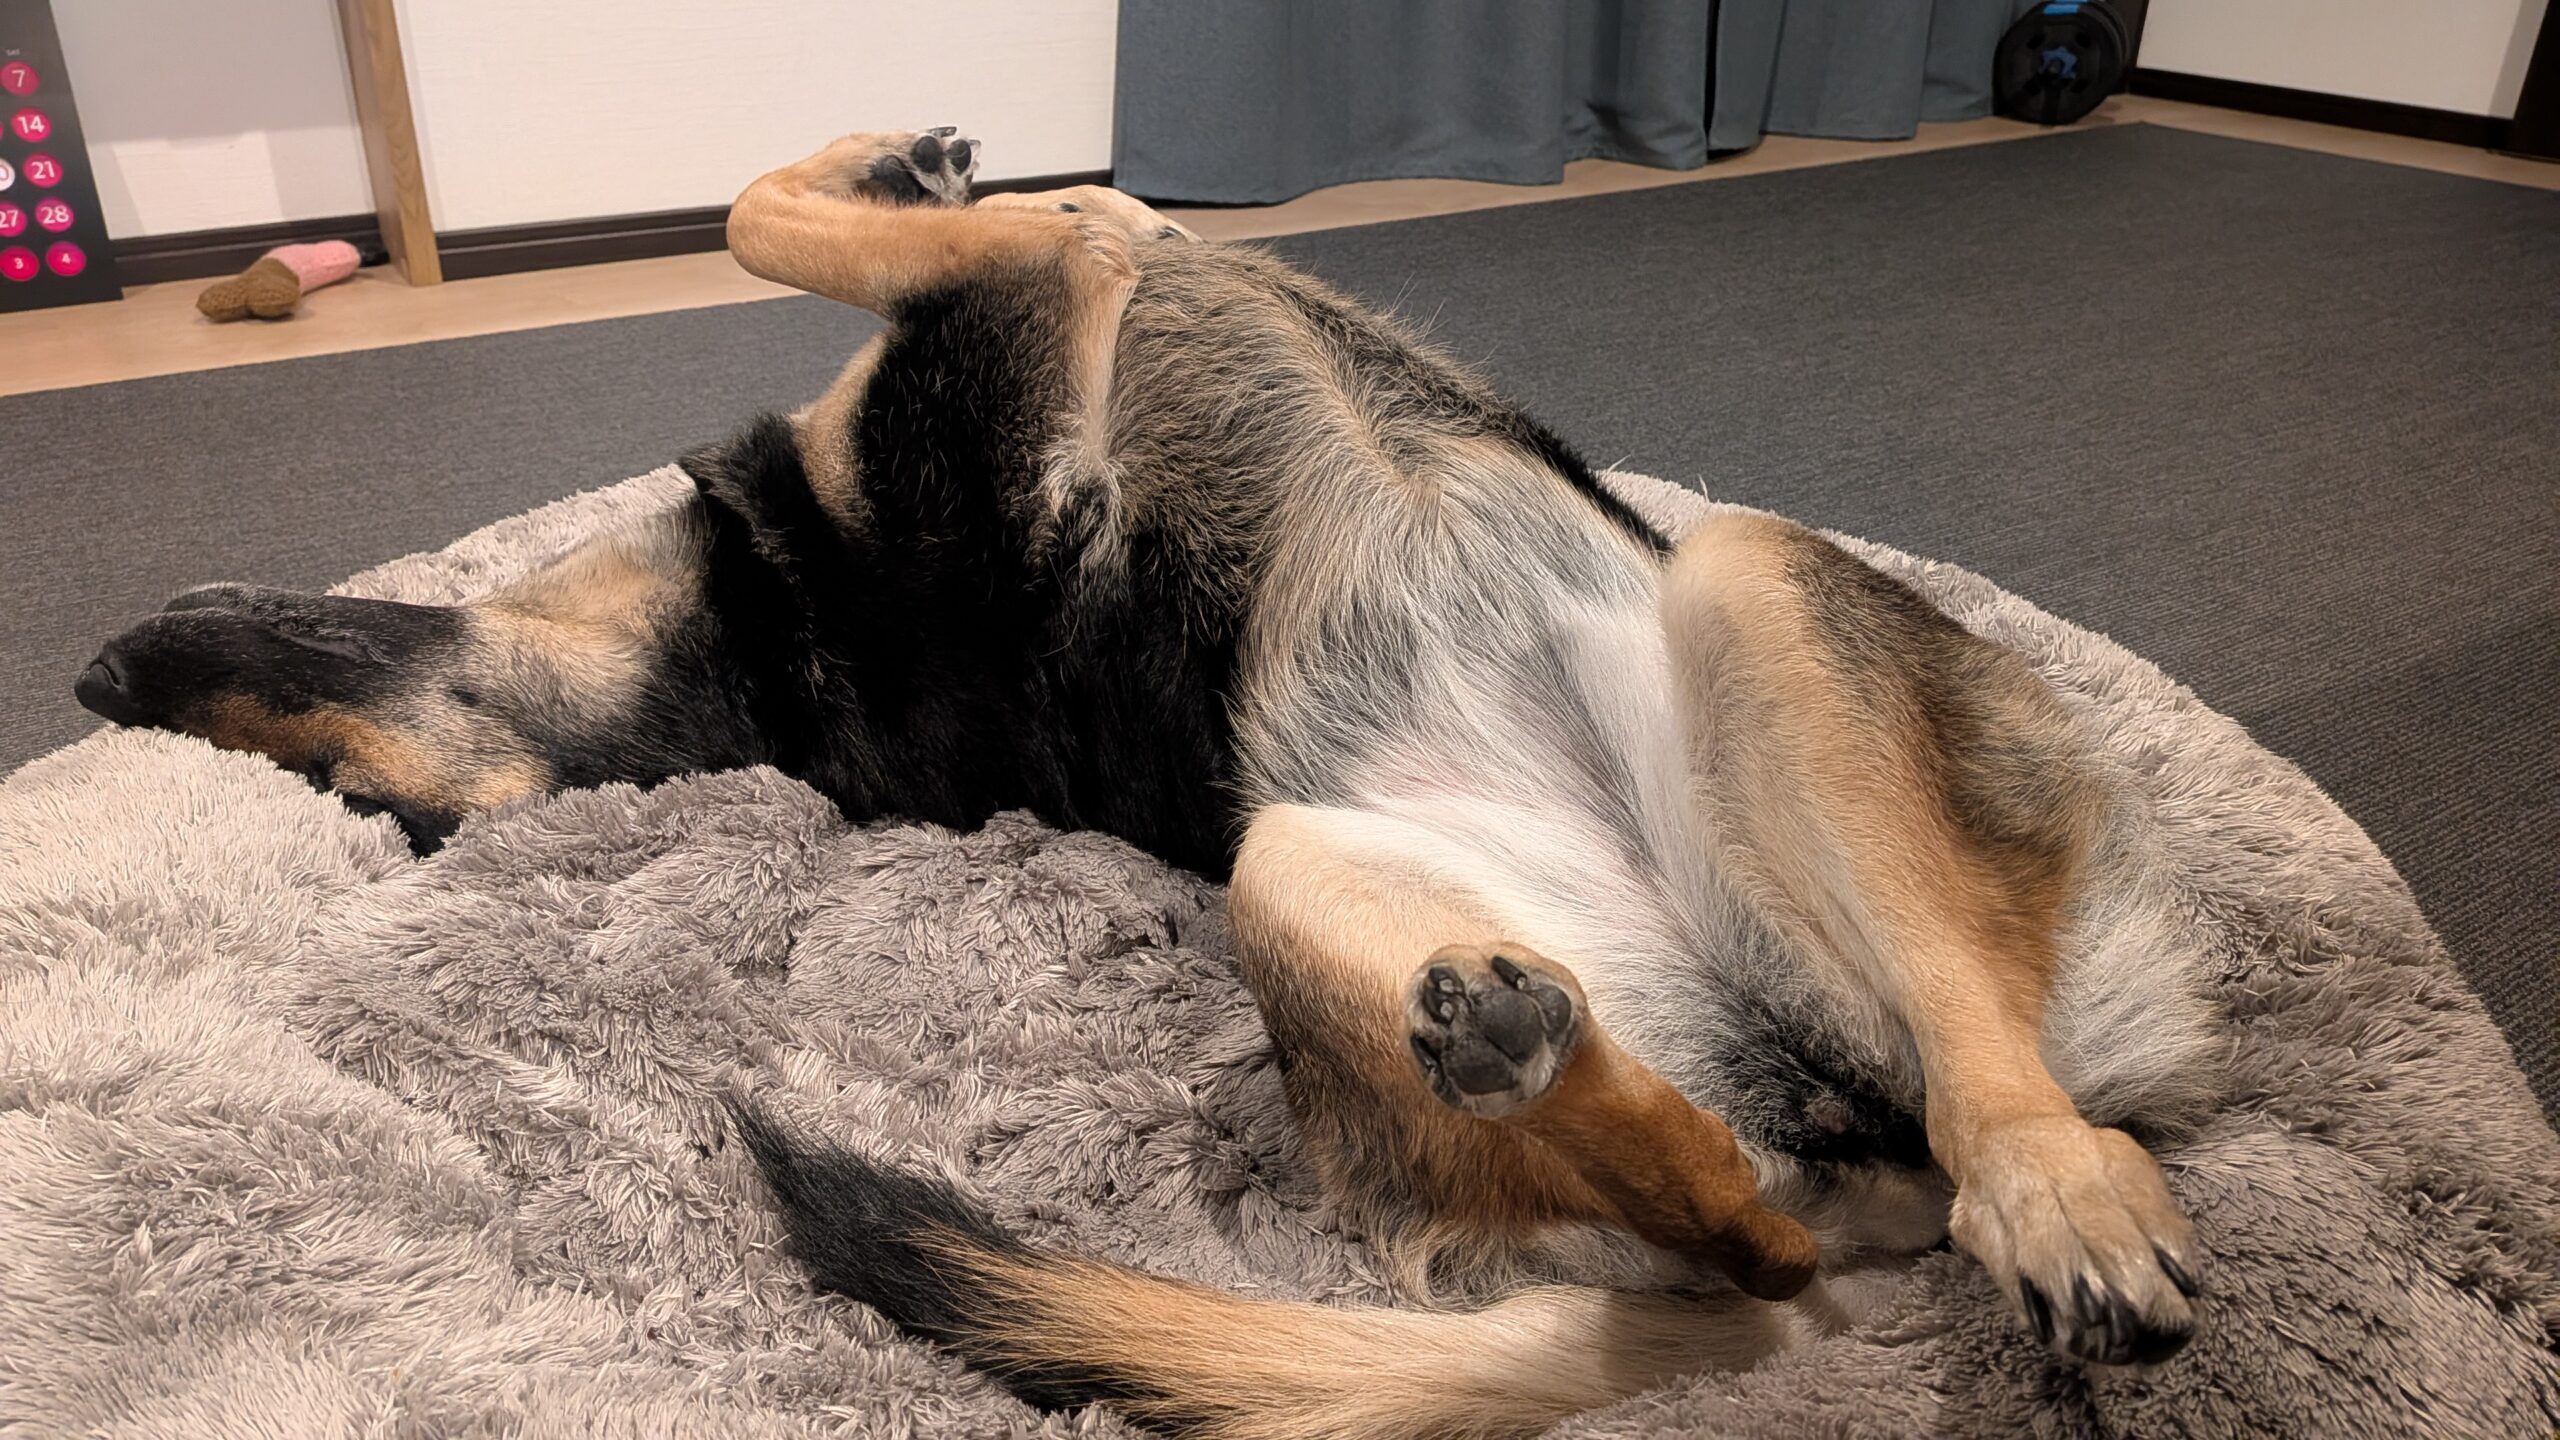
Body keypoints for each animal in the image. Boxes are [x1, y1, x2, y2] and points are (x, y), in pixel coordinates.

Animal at [76, 127, 2217, 1440]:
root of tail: (1852, 1152)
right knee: (1824, 1181)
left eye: (364, 801)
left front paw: (892, 156)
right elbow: (844, 222)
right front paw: (902, 176)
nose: (93, 676)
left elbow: (798, 213)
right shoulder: (1064, 277)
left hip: (1692, 656)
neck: (771, 644)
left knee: (1821, 1162)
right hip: (1363, 831)